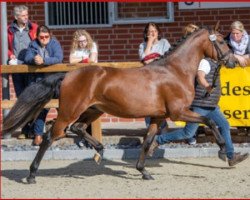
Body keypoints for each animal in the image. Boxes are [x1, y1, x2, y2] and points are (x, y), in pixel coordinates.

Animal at [2, 26, 235, 183]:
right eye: (221, 42)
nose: (232, 61)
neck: (175, 71)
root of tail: (68, 75)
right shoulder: (179, 112)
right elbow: (210, 121)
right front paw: (224, 152)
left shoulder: (158, 116)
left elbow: (147, 142)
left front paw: (143, 171)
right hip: (70, 111)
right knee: (51, 136)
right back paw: (32, 175)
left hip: (93, 111)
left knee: (78, 128)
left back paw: (99, 150)